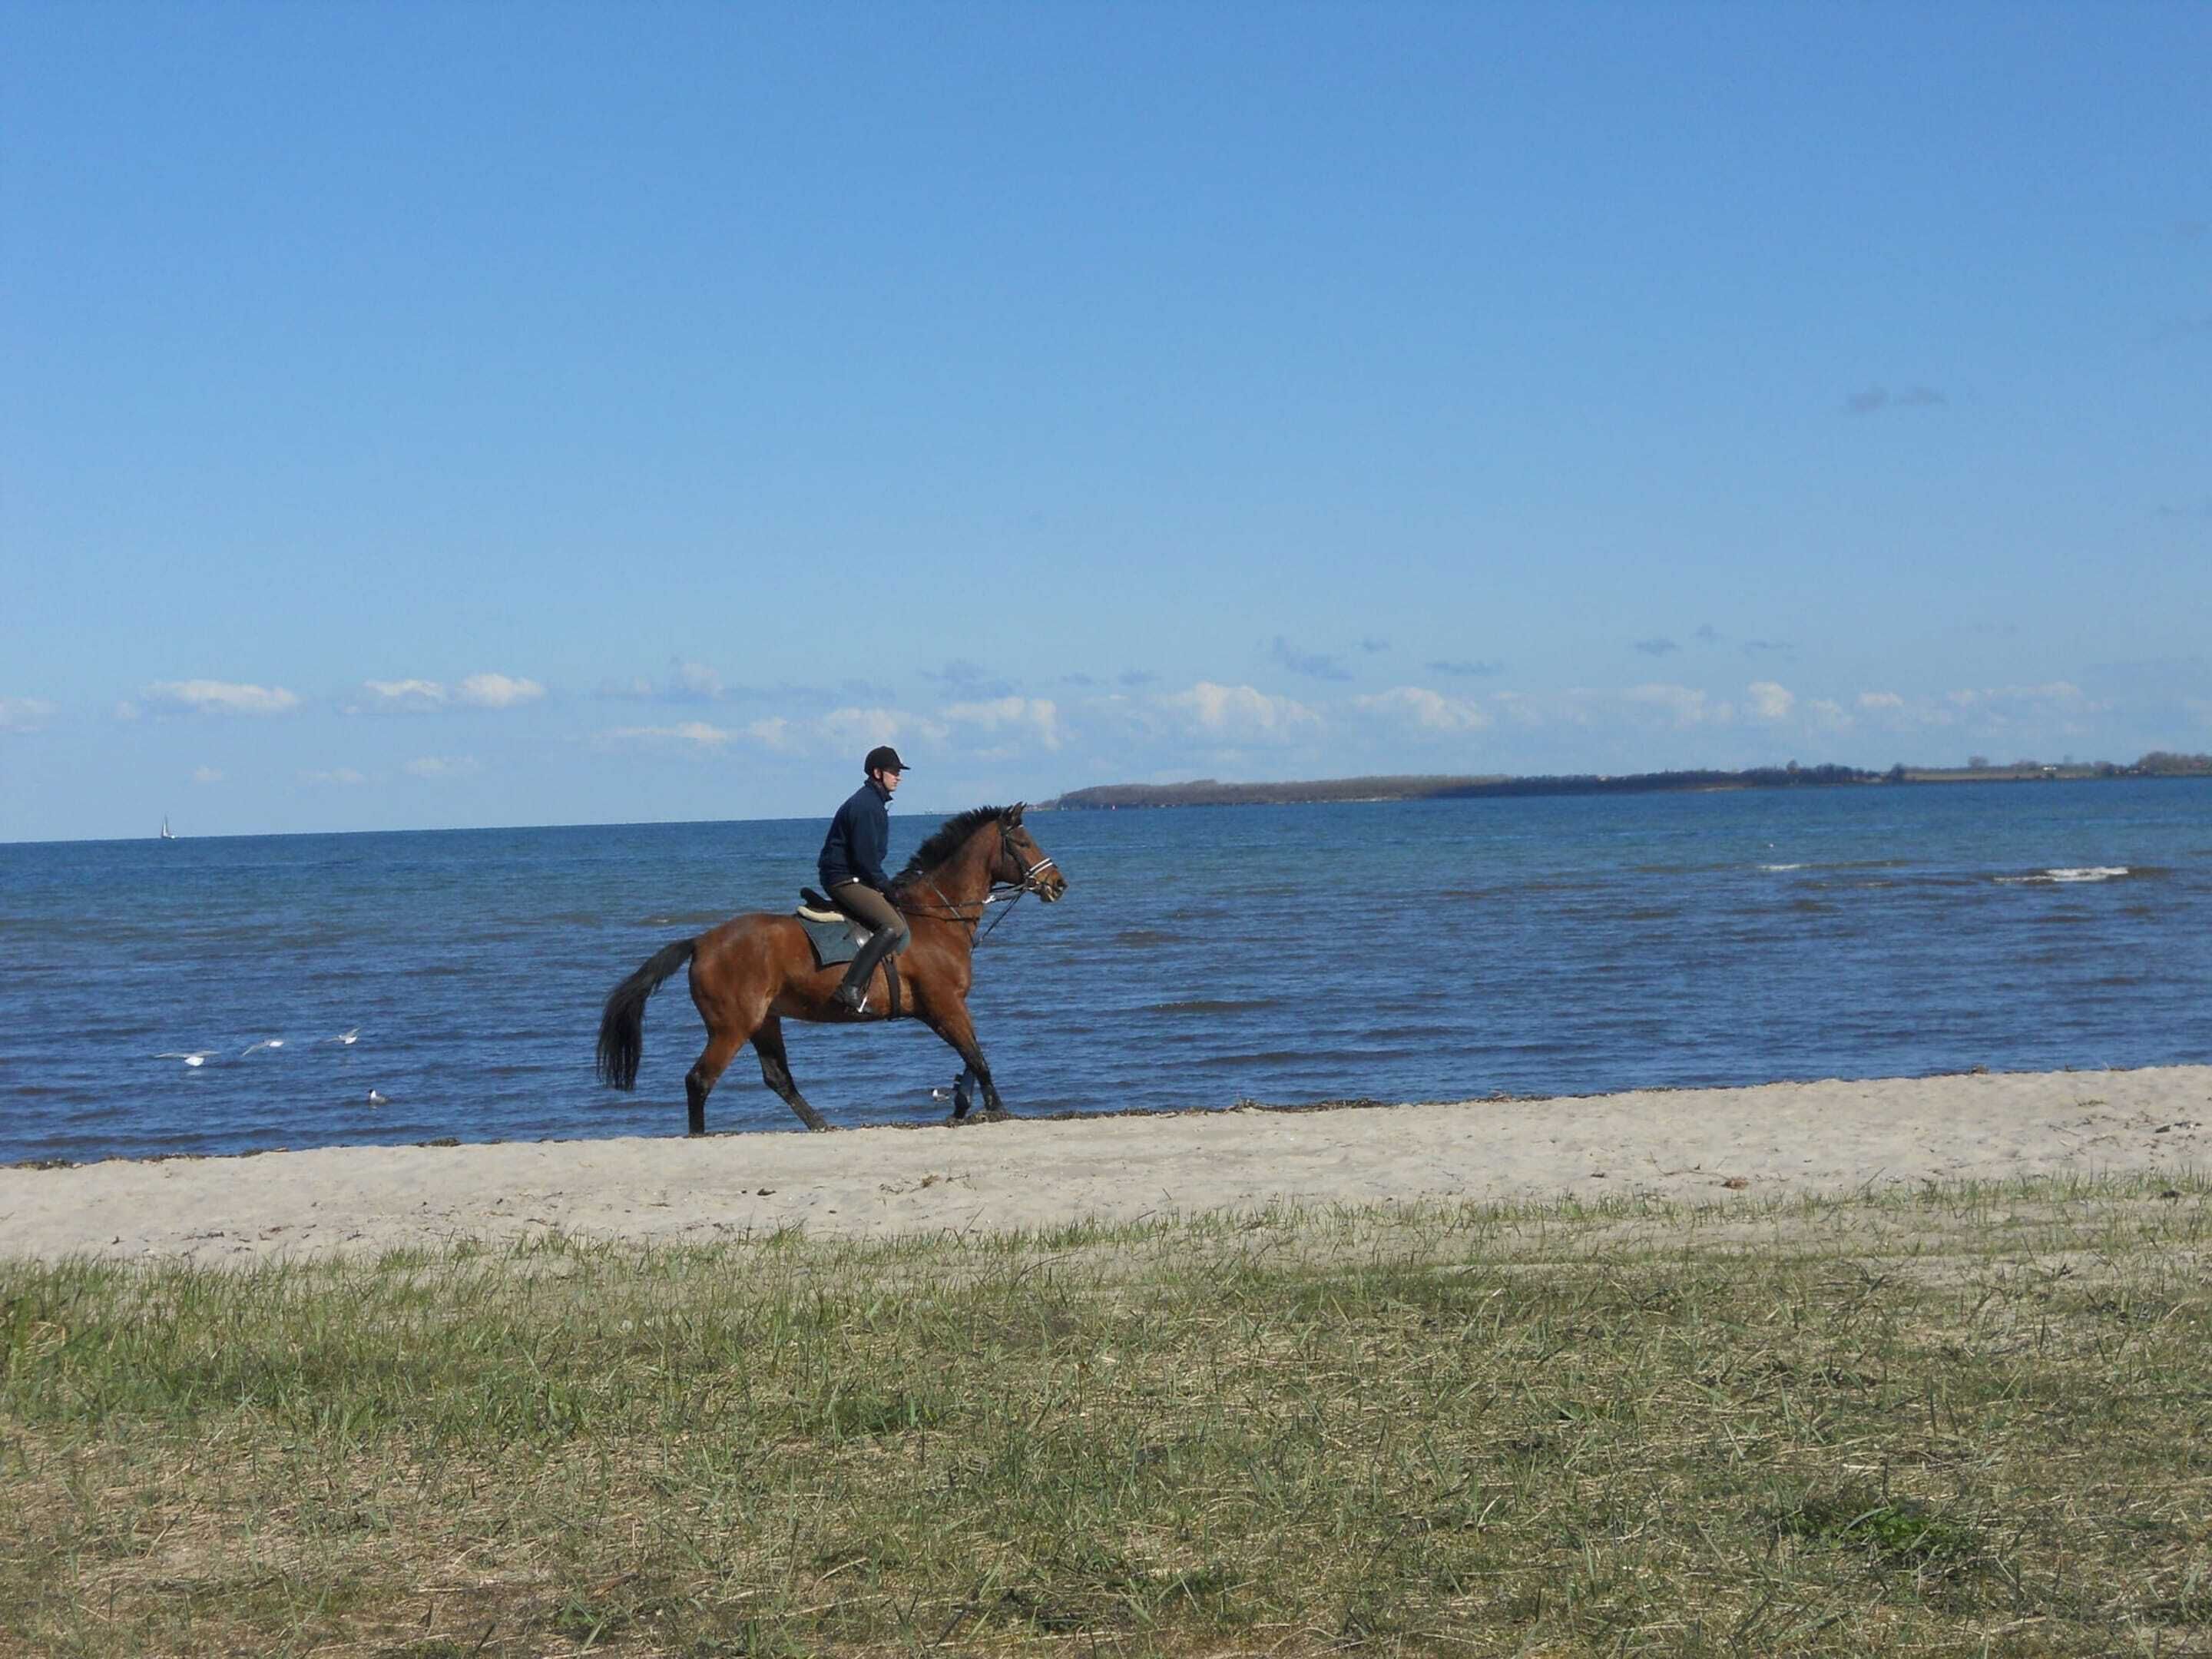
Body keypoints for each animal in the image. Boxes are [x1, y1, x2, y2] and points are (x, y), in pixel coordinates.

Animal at [595, 803, 1066, 1132]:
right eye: (1024, 843)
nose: (1058, 884)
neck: (936, 916)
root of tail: (701, 942)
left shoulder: (943, 1009)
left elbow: (971, 1054)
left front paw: (962, 1104)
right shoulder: (944, 1004)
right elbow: (977, 1055)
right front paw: (996, 1108)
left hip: (764, 1021)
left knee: (778, 1079)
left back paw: (821, 1124)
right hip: (731, 1027)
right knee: (699, 1080)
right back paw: (700, 1136)